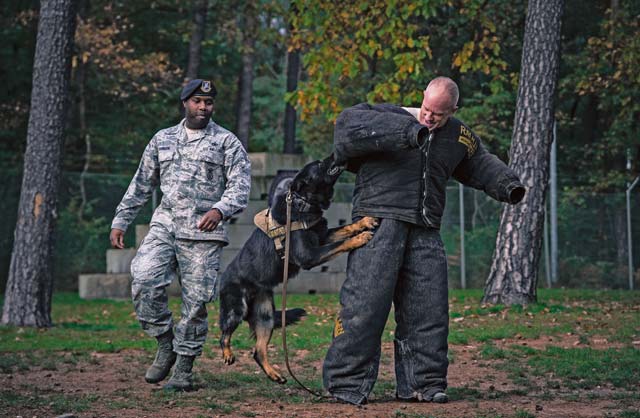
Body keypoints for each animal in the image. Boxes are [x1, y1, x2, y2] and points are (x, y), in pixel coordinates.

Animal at [220, 155, 380, 384]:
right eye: (320, 164)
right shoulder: (310, 256)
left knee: (258, 351)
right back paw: (227, 353)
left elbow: (343, 229)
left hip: (266, 316)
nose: (334, 154)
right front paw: (360, 237)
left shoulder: (322, 237)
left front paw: (364, 222)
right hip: (237, 308)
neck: (302, 202)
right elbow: (340, 243)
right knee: (224, 334)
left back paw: (274, 374)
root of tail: (221, 279)